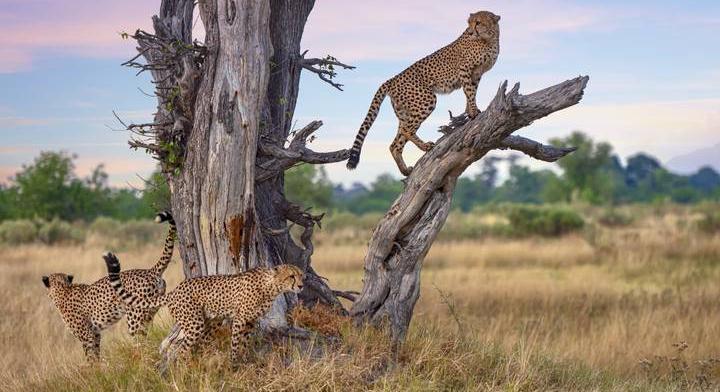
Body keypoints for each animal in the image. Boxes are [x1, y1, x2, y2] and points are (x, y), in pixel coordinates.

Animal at [42, 211, 177, 358]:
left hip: (135, 318)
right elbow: (96, 355)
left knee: (140, 342)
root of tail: (150, 271)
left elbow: (90, 357)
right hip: (149, 313)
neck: (62, 289)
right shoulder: (95, 334)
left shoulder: (86, 335)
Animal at [102, 253, 304, 370]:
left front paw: (245, 359)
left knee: (182, 345)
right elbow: (235, 342)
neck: (271, 286)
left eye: (301, 275)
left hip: (206, 322)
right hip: (195, 323)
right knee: (181, 349)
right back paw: (185, 368)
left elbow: (245, 343)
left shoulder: (250, 321)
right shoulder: (240, 319)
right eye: (291, 276)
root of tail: (175, 290)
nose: (301, 285)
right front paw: (234, 363)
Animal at [348, 10, 500, 176]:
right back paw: (425, 147)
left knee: (395, 144)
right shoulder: (465, 70)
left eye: (478, 22)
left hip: (405, 111)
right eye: (469, 23)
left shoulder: (476, 74)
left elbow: (471, 92)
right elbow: (470, 92)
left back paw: (405, 170)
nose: (471, 31)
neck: (489, 38)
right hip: (426, 100)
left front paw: (470, 111)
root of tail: (392, 79)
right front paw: (473, 111)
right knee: (406, 130)